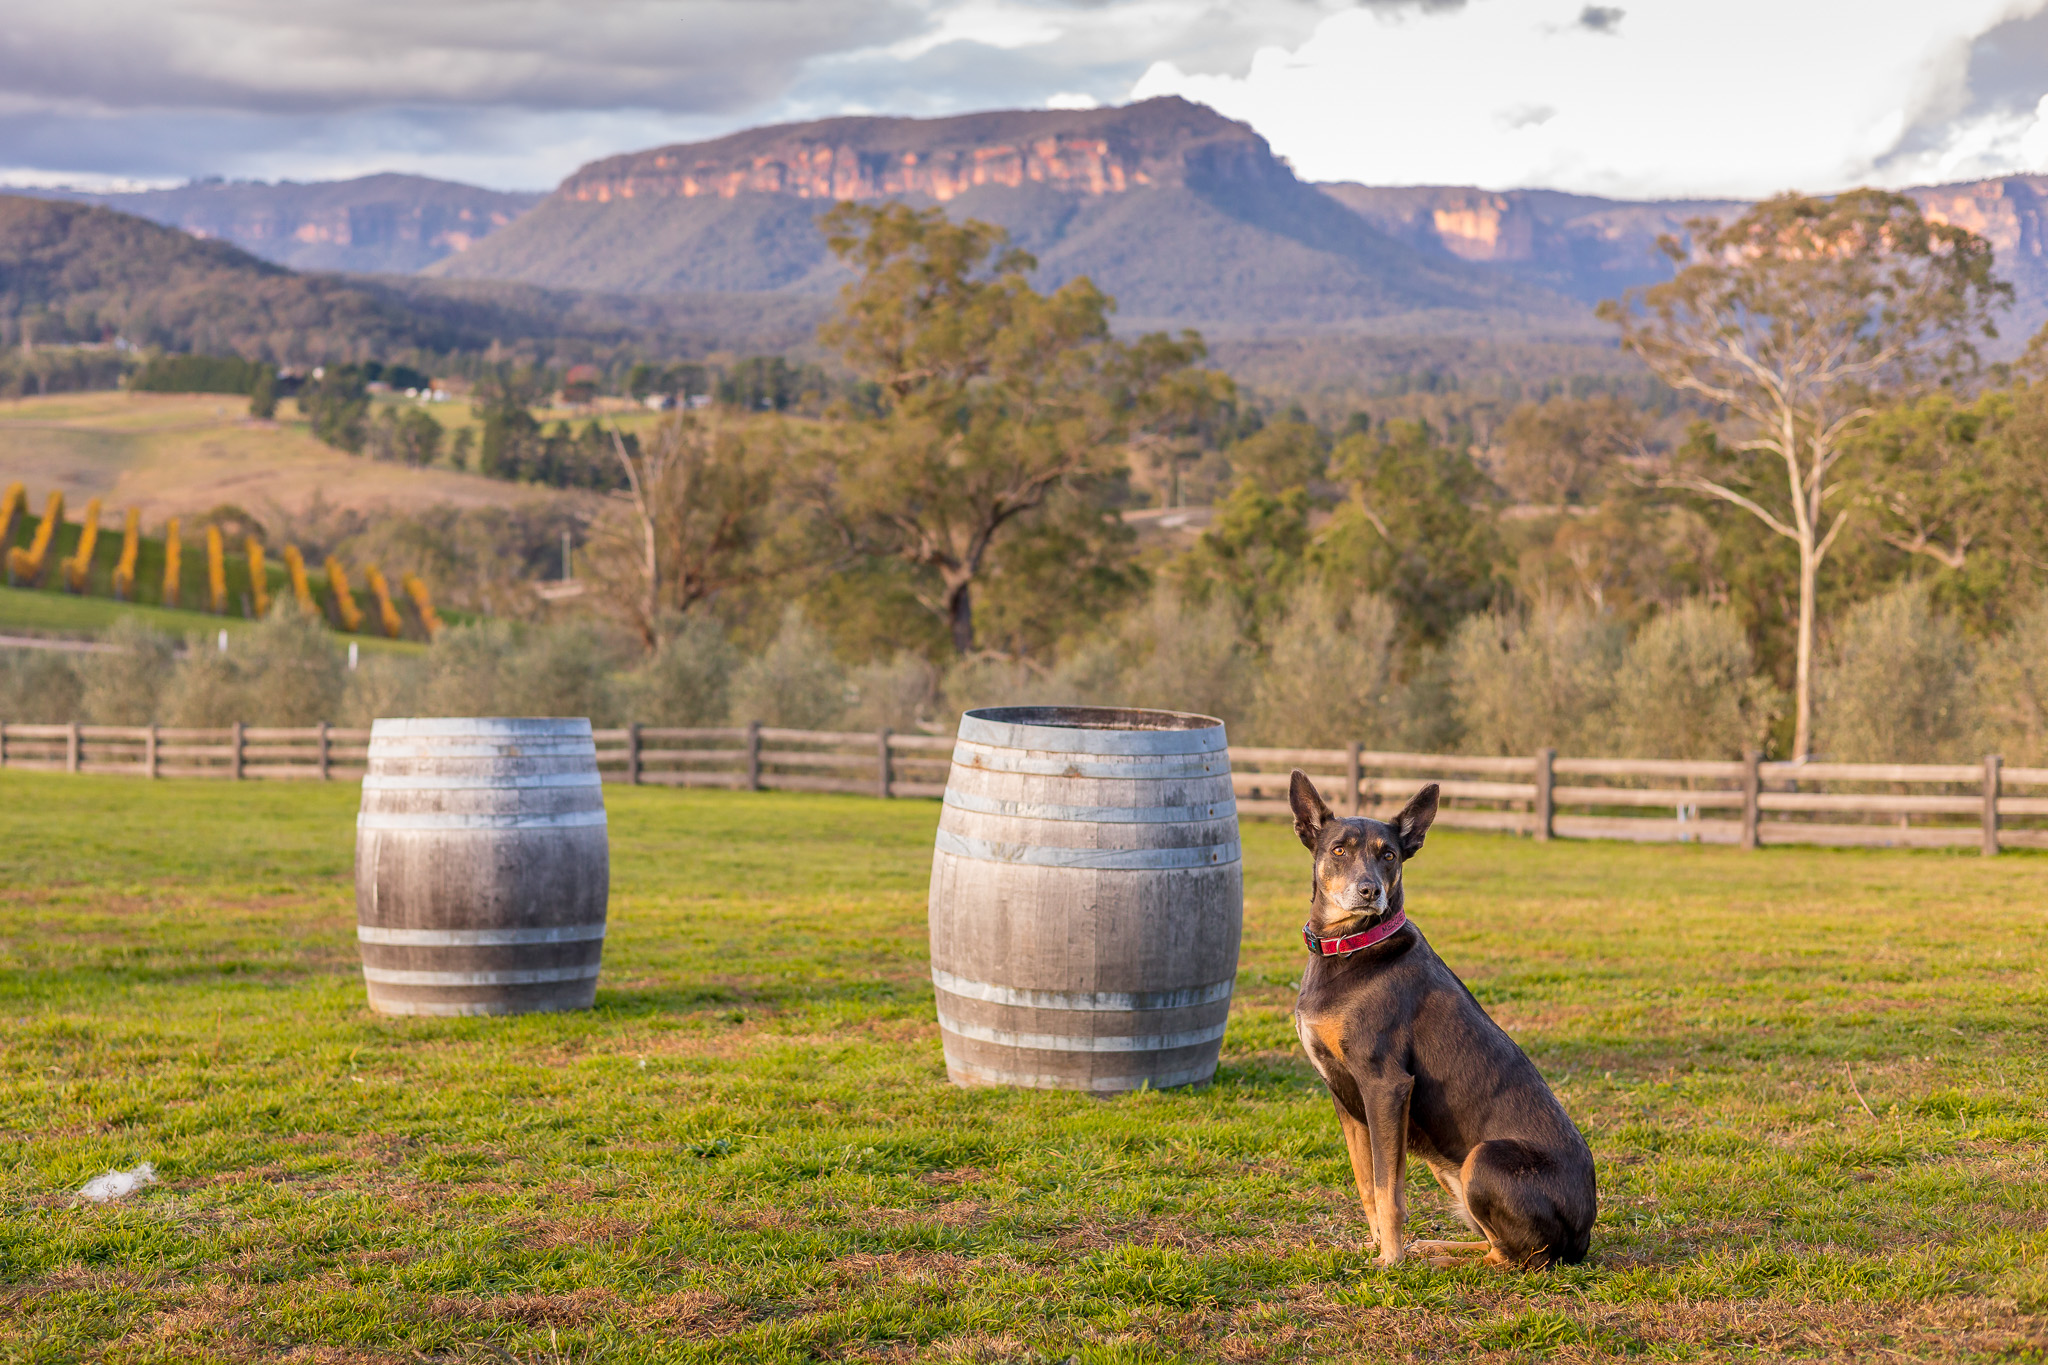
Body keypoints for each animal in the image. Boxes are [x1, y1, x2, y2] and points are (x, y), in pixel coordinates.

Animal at [1277, 769, 1597, 1268]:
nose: (1370, 891)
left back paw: (1435, 1262)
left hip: (1482, 1160)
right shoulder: (1343, 1095)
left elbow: (1389, 1190)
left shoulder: (1386, 1086)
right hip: (1448, 1166)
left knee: (1516, 1259)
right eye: (1339, 850)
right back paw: (1435, 1247)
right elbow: (1367, 1183)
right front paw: (1376, 1247)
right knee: (1495, 1244)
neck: (1352, 946)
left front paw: (1390, 1262)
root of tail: (1583, 1238)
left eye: (1389, 854)